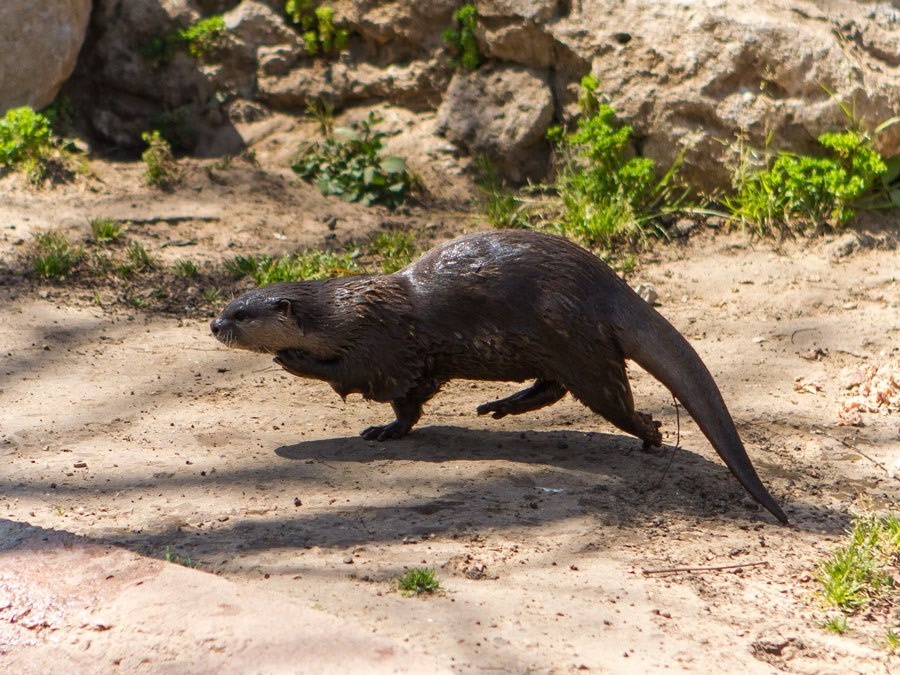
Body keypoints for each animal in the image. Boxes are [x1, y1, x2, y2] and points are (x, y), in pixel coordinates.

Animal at [211, 230, 788, 524]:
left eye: (242, 313)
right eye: (228, 304)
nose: (214, 324)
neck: (347, 312)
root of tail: (609, 287)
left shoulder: (383, 345)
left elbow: (359, 375)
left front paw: (292, 359)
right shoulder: (414, 365)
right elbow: (408, 404)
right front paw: (387, 430)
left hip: (576, 344)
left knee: (616, 402)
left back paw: (650, 434)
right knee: (554, 386)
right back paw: (500, 406)